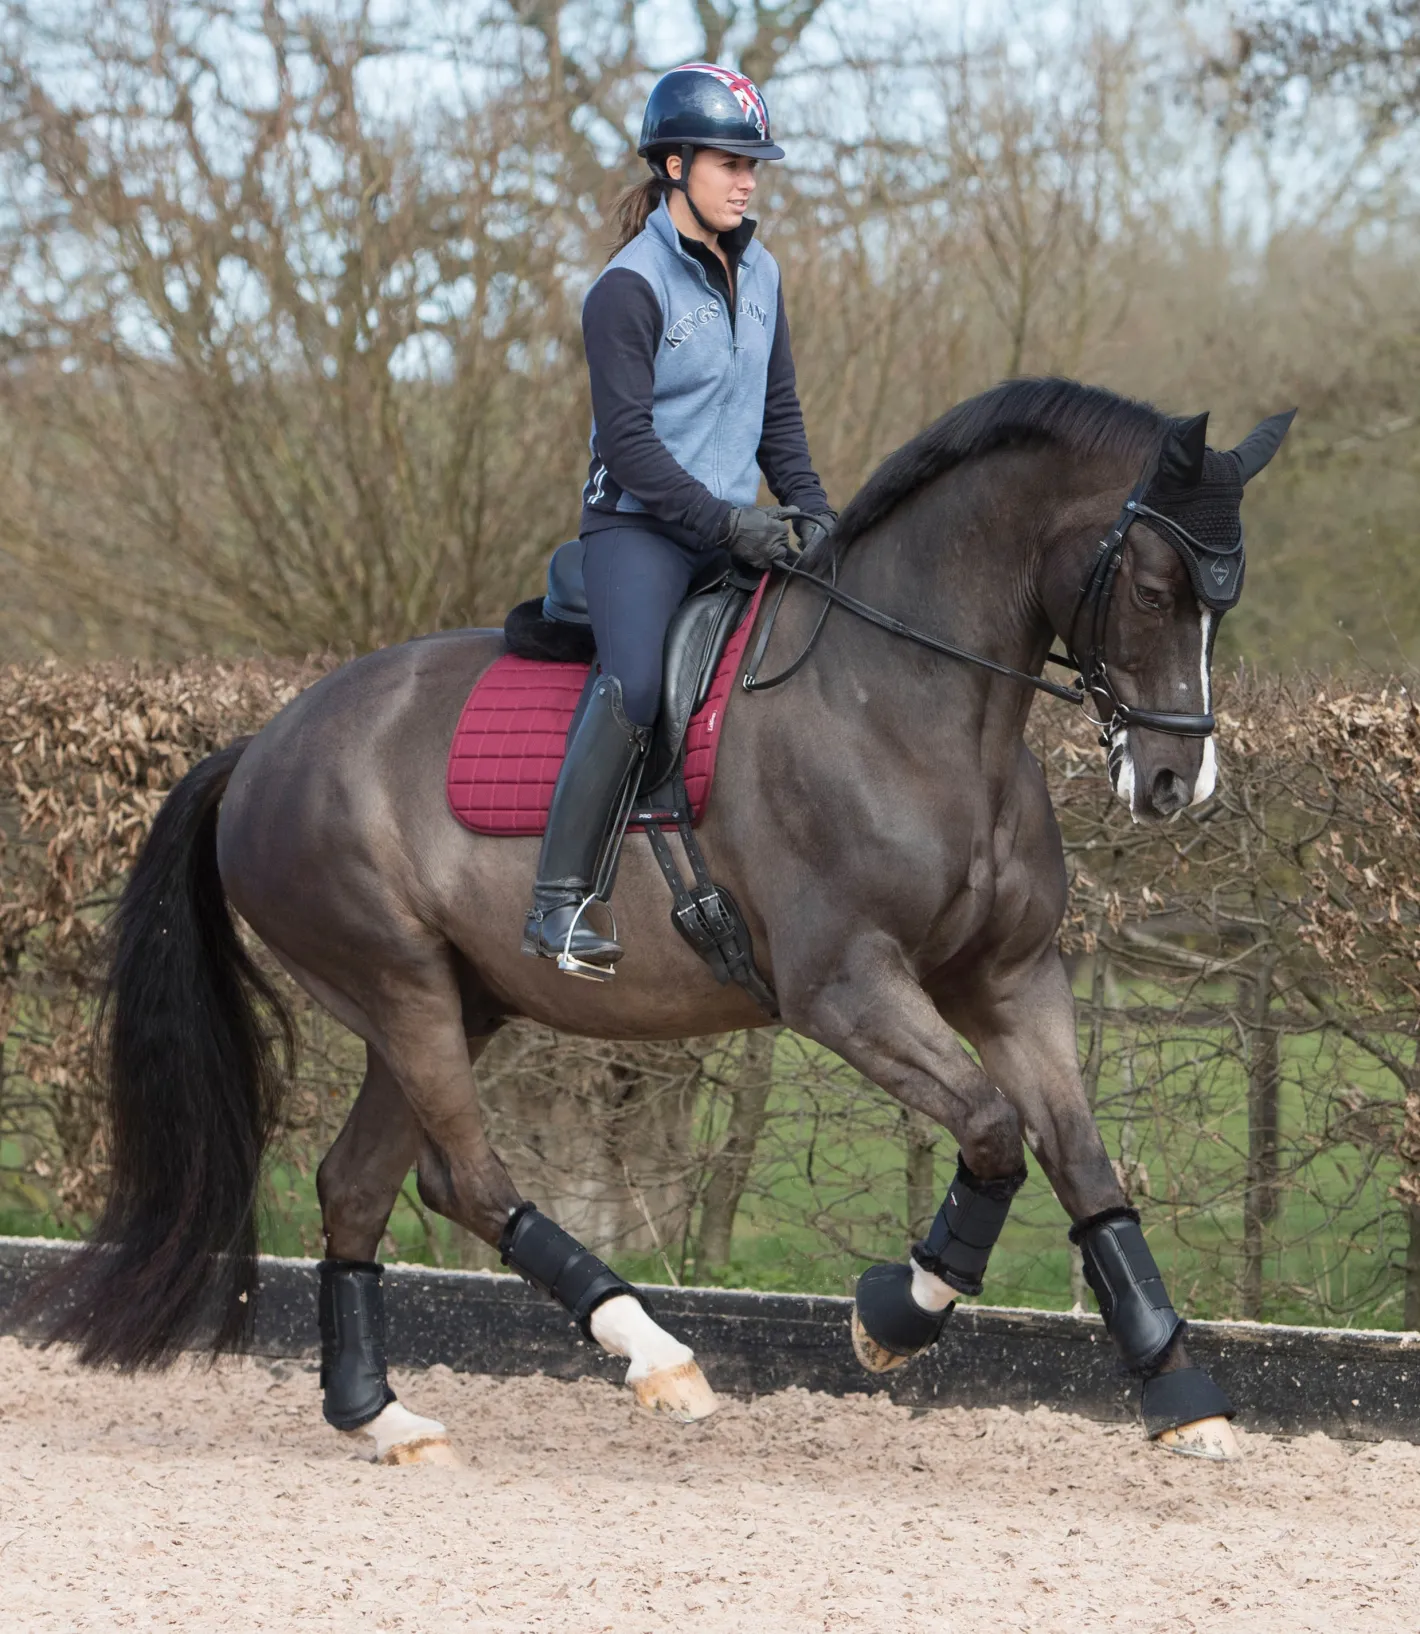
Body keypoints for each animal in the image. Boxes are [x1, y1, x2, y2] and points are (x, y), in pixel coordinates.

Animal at [43, 377, 1293, 1467]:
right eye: (1151, 588)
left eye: (1224, 603)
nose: (1175, 779)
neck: (909, 705)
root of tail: (261, 745)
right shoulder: (845, 987)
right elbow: (990, 1130)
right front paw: (896, 1310)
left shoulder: (1011, 977)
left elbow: (1078, 1158)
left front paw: (1180, 1391)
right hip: (396, 982)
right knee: (469, 1180)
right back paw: (654, 1355)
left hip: (449, 998)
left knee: (365, 1185)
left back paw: (381, 1416)